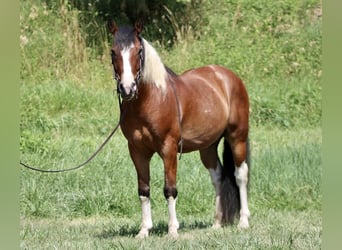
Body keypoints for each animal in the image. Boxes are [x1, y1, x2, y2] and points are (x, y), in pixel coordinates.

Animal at [108, 20, 250, 238]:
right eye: (113, 51)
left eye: (138, 51)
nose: (127, 88)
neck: (152, 99)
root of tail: (228, 77)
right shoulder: (137, 151)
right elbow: (144, 190)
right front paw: (144, 230)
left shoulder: (169, 149)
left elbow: (170, 189)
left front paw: (173, 230)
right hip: (207, 147)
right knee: (218, 177)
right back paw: (217, 223)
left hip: (237, 137)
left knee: (240, 175)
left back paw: (243, 221)